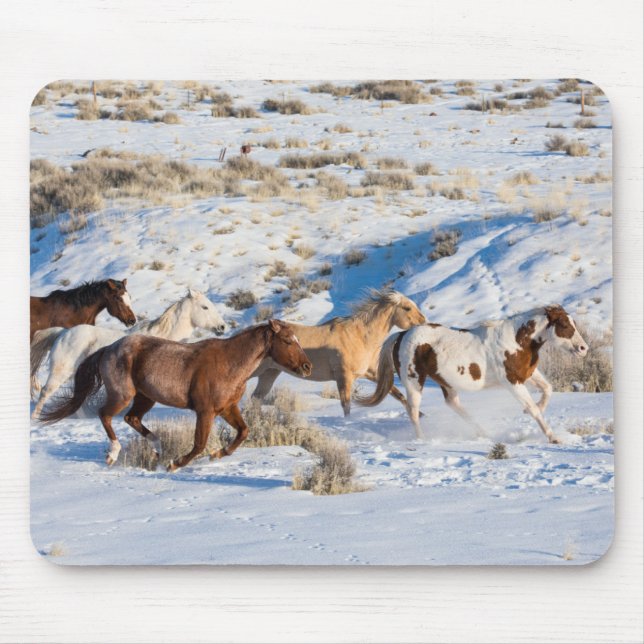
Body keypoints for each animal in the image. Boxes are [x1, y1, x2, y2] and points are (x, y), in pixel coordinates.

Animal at [30, 289, 227, 418]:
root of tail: (63, 333)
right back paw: (36, 418)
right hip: (60, 371)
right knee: (46, 392)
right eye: (205, 307)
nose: (222, 327)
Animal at [40, 320, 312, 471]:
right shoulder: (205, 411)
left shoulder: (227, 408)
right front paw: (174, 465)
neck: (229, 364)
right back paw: (114, 454)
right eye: (288, 340)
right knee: (105, 415)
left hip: (145, 397)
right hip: (122, 395)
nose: (307, 366)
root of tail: (110, 348)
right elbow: (199, 443)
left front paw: (217, 455)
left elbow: (243, 432)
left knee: (132, 419)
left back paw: (157, 448)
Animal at [251, 288, 426, 416]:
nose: (424, 322)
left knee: (256, 398)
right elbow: (346, 406)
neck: (360, 336)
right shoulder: (344, 376)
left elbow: (396, 393)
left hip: (269, 373)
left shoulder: (370, 373)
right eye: (407, 308)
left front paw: (420, 415)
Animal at [355, 305, 588, 443]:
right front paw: (553, 437)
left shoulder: (527, 375)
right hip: (414, 381)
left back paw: (484, 434)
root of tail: (402, 335)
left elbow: (547, 389)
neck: (516, 340)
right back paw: (423, 441)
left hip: (445, 382)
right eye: (564, 325)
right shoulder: (512, 382)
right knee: (413, 411)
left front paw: (538, 410)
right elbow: (532, 408)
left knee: (454, 404)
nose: (583, 348)